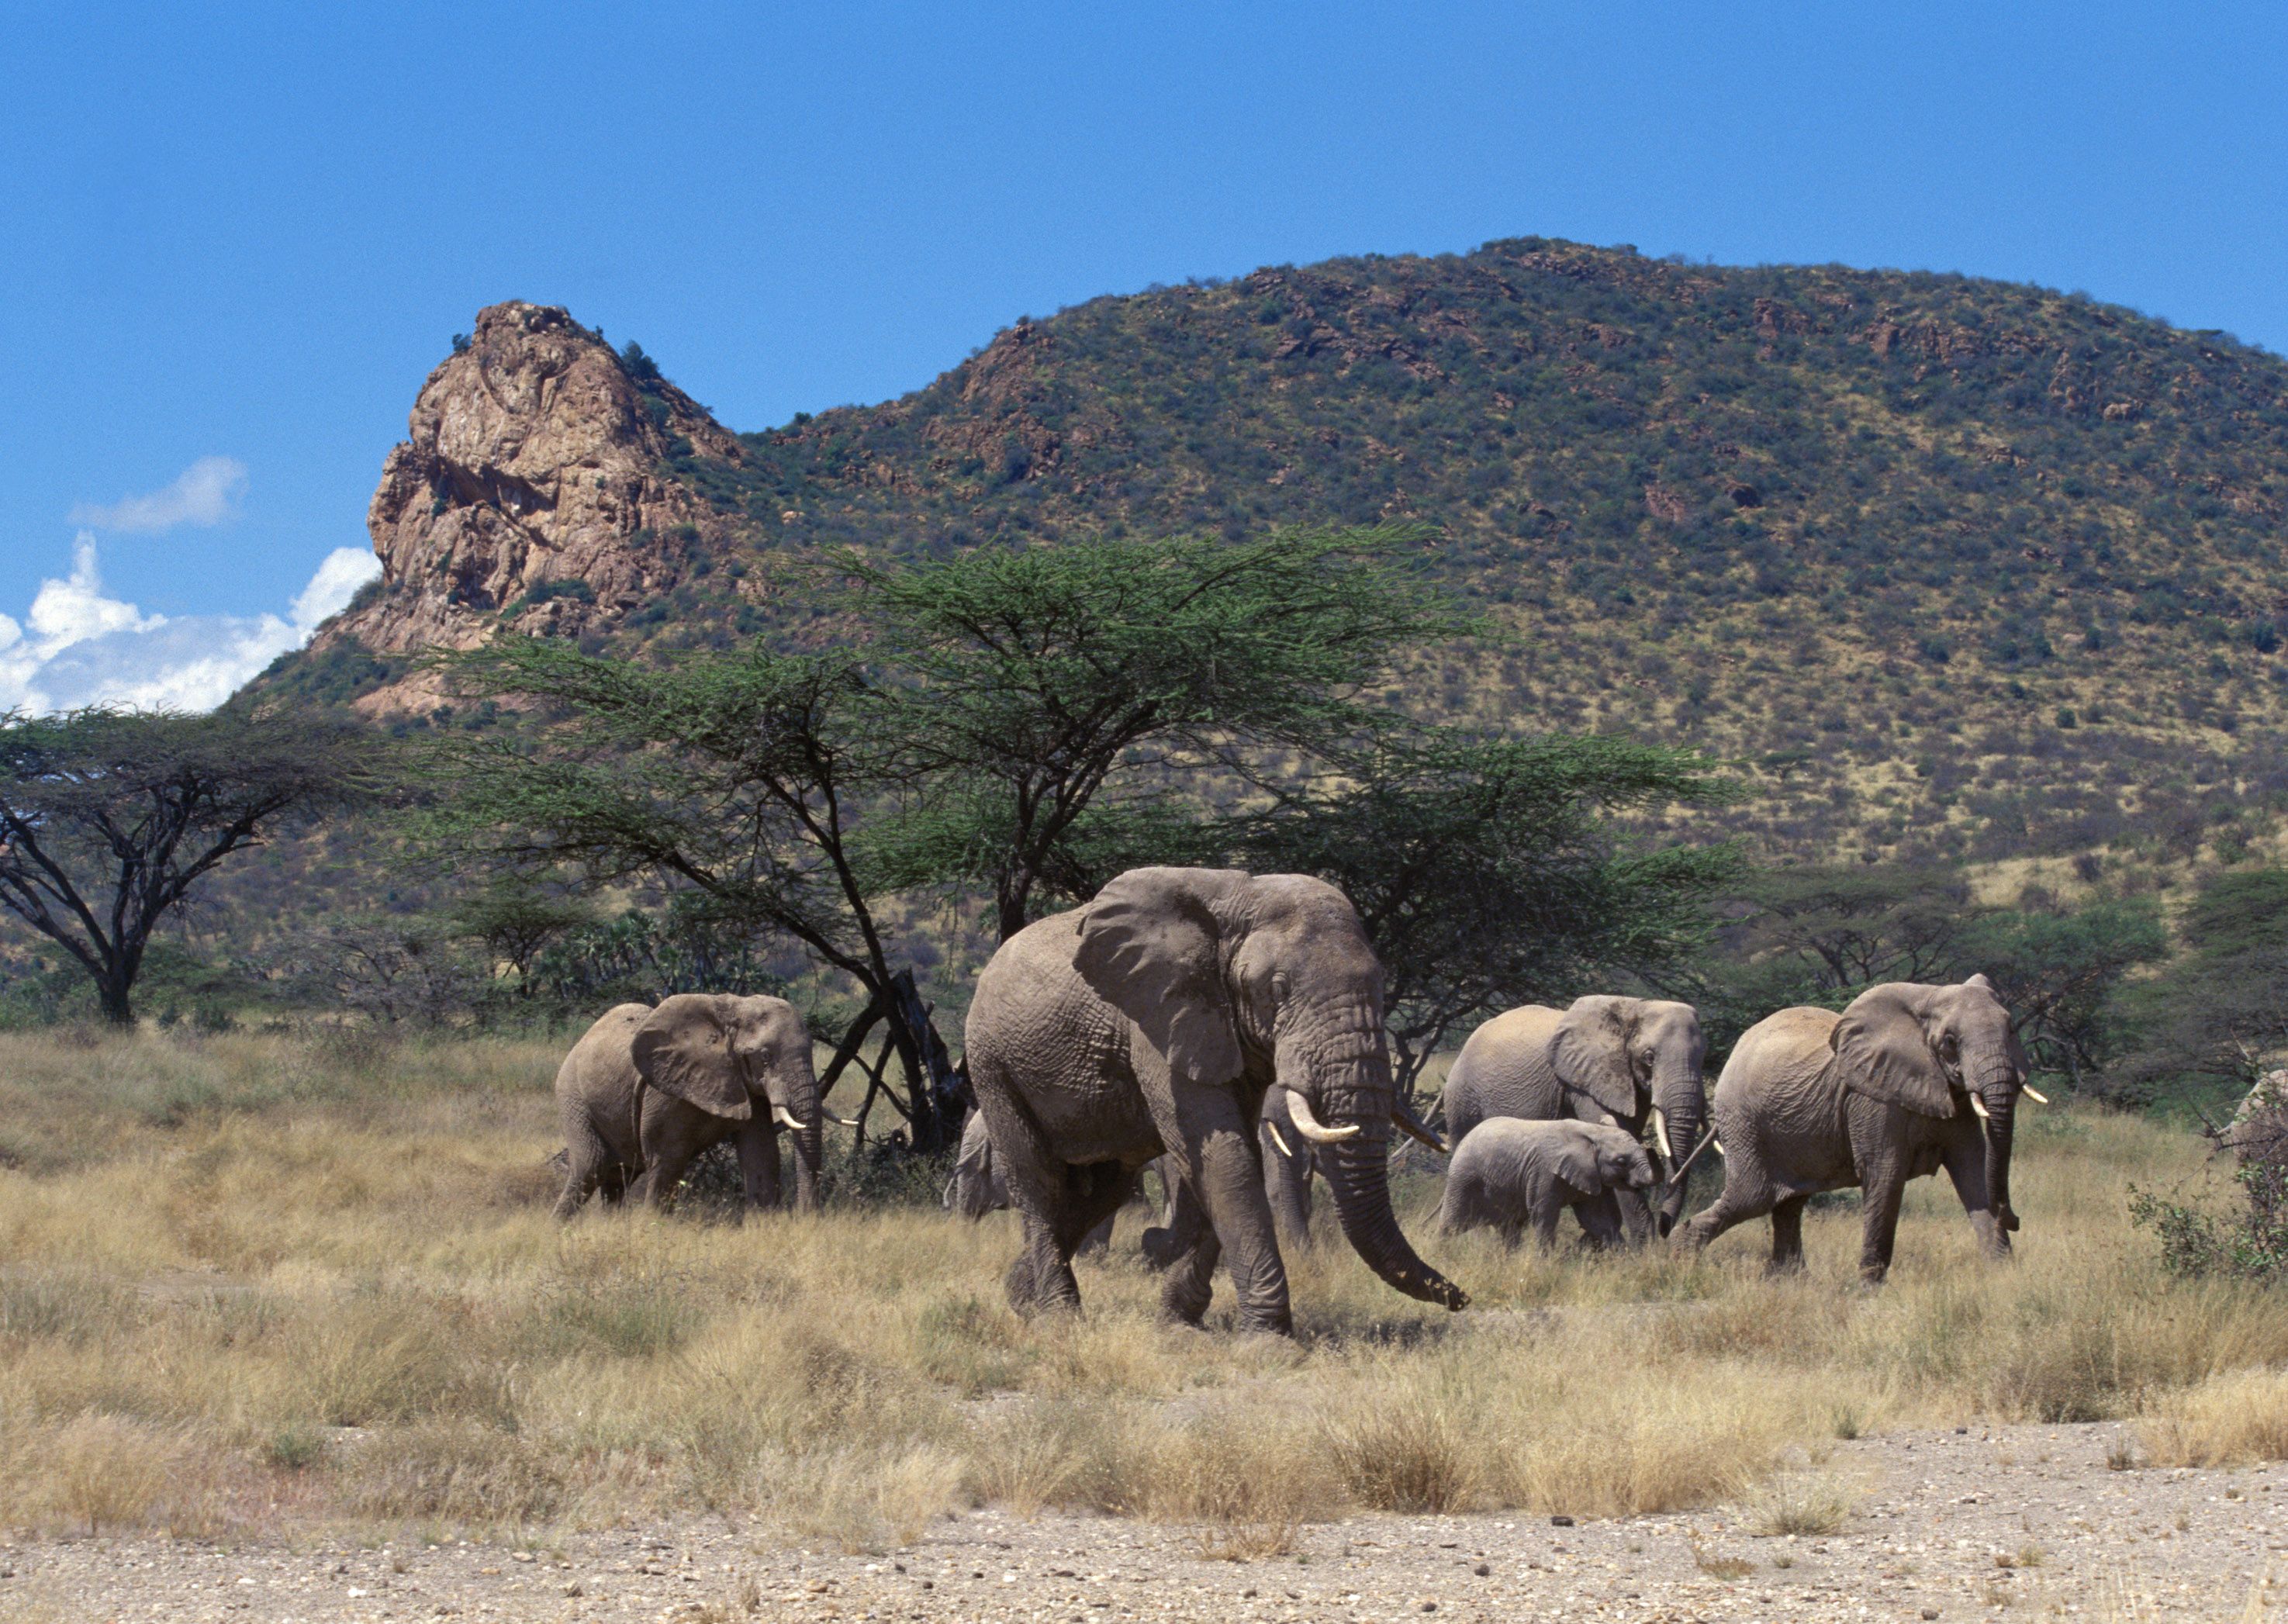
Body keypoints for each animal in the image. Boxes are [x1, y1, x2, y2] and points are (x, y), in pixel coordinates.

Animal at [553, 993, 828, 1218]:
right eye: (765, 1056)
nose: (806, 1216)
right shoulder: (666, 1091)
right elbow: (668, 1157)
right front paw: (653, 1226)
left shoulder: (747, 1087)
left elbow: (760, 1152)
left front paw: (764, 1223)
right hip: (573, 1097)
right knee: (591, 1167)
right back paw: (559, 1228)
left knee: (617, 1178)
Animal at [963, 866, 1467, 1334]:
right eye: (1278, 989)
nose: (1462, 1298)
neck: (1241, 900)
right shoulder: (1159, 1016)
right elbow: (1224, 1156)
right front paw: (1268, 1339)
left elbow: (1232, 1155)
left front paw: (1178, 1323)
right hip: (992, 1066)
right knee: (1038, 1180)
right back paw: (1058, 1318)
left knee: (1101, 1192)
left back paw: (1021, 1295)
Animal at [1438, 1118, 1658, 1250]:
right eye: (1621, 1161)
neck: (1593, 1131)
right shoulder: (1543, 1172)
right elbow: (1544, 1215)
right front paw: (1544, 1265)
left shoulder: (1588, 1175)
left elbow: (1596, 1220)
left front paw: (1624, 1260)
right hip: (1463, 1179)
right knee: (1452, 1224)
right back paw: (1442, 1254)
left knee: (1509, 1228)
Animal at [1675, 975, 2035, 1281]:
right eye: (1949, 1041)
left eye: (2012, 1028)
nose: (2015, 1219)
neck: (1926, 999)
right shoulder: (1871, 1100)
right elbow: (1885, 1173)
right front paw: (1867, 1288)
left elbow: (1973, 1170)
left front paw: (2003, 1276)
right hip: (1744, 1122)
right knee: (1753, 1197)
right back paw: (1681, 1261)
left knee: (1789, 1204)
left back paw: (1791, 1281)